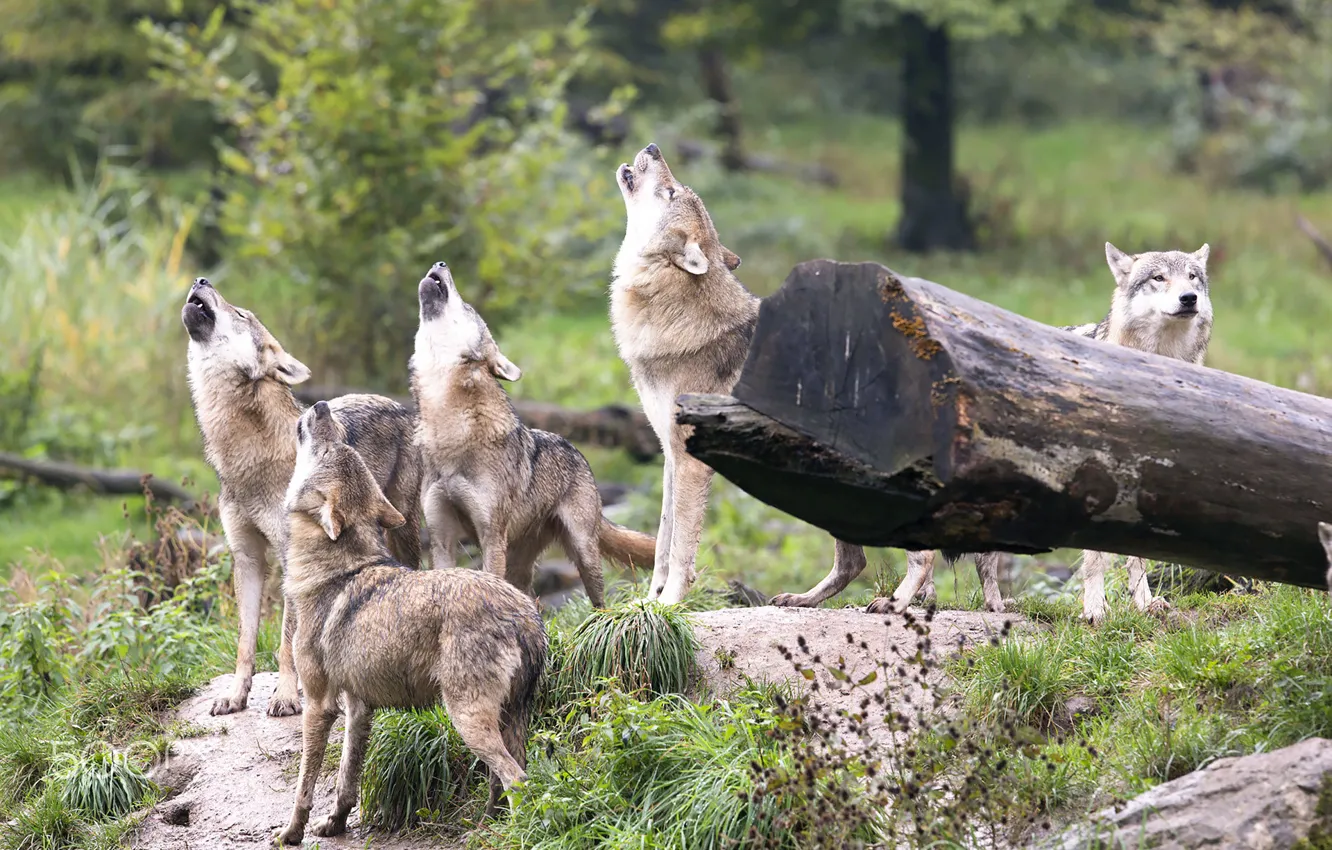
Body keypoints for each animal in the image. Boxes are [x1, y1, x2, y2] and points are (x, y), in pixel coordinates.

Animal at [182, 278, 422, 718]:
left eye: (241, 313)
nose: (201, 280)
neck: (246, 459)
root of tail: (398, 404)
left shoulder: (290, 557)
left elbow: (286, 642)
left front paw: (286, 696)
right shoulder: (246, 556)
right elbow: (245, 640)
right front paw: (236, 695)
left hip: (404, 529)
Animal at [275, 401, 545, 845]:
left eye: (334, 449)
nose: (321, 406)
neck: (336, 570)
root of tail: (526, 616)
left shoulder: (318, 704)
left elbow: (305, 783)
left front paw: (291, 833)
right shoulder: (357, 707)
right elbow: (347, 778)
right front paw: (335, 824)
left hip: (466, 719)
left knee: (516, 779)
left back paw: (506, 834)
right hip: (508, 720)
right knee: (508, 778)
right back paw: (485, 828)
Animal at [411, 262, 655, 607]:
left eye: (468, 307)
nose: (441, 263)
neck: (450, 428)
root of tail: (576, 450)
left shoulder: (491, 537)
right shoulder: (441, 537)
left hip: (583, 553)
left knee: (598, 601)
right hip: (522, 560)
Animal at [611, 142, 868, 605]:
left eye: (672, 192)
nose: (654, 147)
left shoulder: (690, 461)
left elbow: (681, 547)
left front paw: (671, 603)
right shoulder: (670, 456)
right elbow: (661, 541)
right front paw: (649, 602)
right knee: (855, 562)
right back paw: (803, 601)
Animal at [774, 242, 1214, 622]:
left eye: (1193, 277)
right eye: (1158, 278)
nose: (1188, 298)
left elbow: (1135, 557)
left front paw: (1144, 604)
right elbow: (1096, 560)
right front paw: (1095, 610)